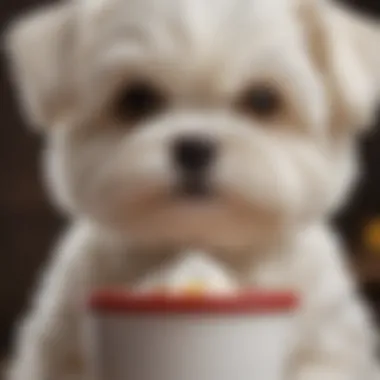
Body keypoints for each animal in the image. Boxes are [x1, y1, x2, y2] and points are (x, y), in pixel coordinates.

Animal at [4, 0, 380, 378]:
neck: (200, 247)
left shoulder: (330, 345)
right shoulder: (58, 346)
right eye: (136, 99)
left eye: (262, 99)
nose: (195, 147)